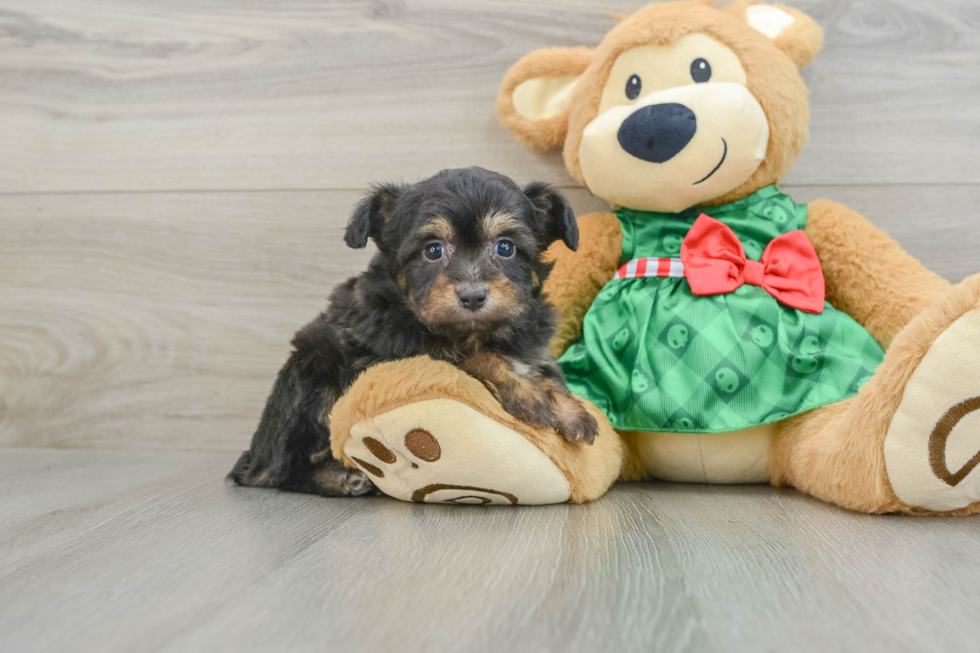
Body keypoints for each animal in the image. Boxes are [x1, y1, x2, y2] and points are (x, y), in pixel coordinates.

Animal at [230, 167, 596, 494]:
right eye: (432, 250)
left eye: (505, 248)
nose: (473, 296)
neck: (476, 332)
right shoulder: (389, 354)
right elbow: (472, 358)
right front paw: (528, 397)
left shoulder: (531, 343)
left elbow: (546, 372)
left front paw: (570, 409)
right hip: (311, 376)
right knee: (277, 470)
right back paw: (340, 478)